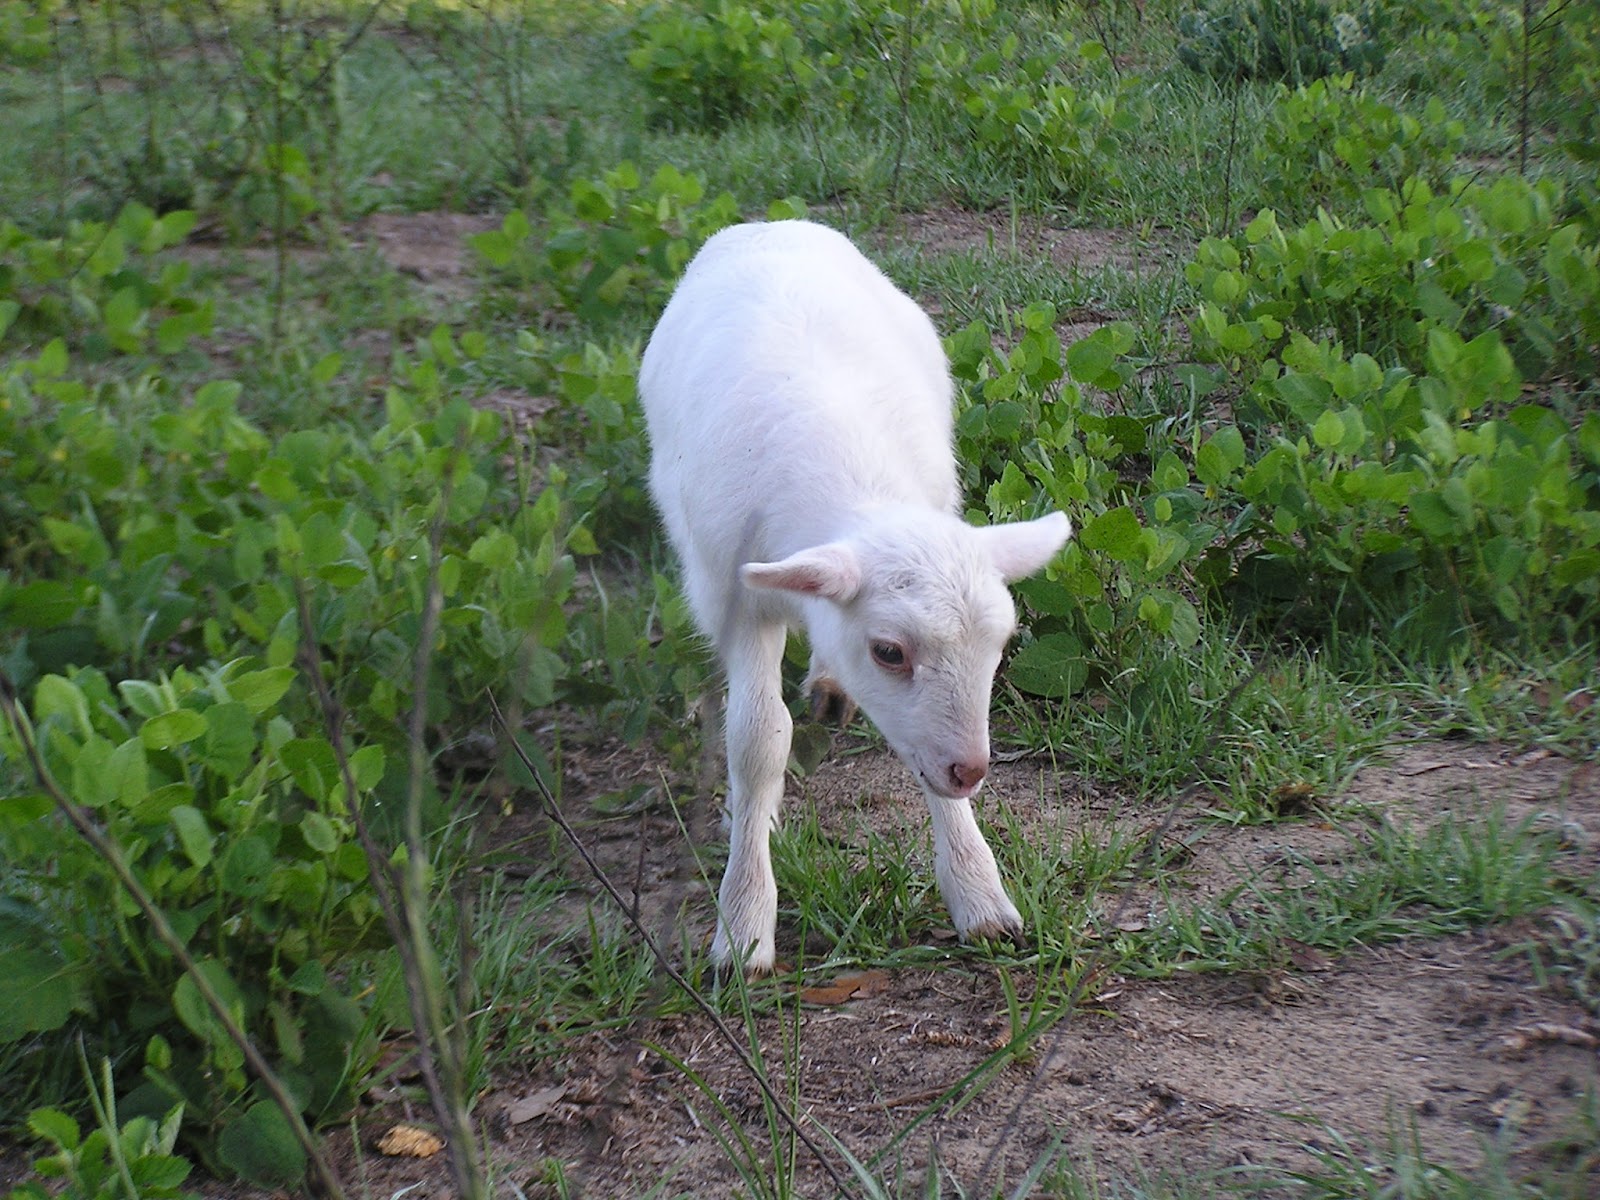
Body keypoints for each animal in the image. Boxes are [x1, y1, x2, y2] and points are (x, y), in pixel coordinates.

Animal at [638, 219, 1072, 974]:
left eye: (1002, 645)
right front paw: (743, 926)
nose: (971, 769)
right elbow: (758, 741)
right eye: (889, 652)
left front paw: (977, 890)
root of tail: (766, 223)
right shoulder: (733, 598)